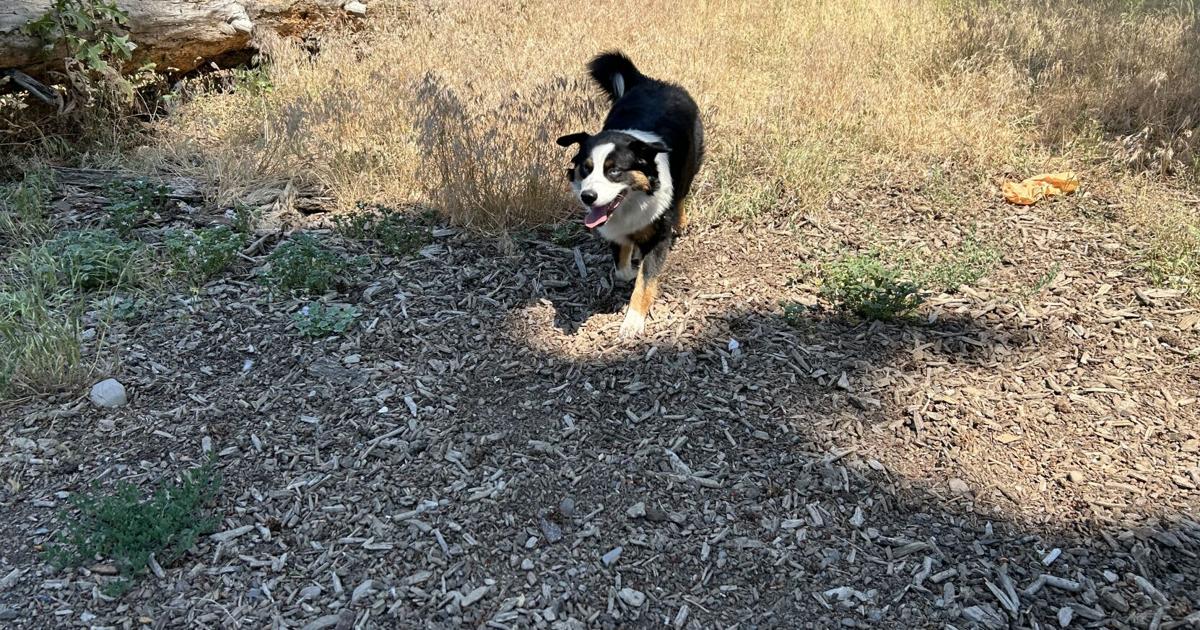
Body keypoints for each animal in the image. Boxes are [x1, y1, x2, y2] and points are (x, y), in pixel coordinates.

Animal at [559, 52, 705, 338]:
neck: (633, 201)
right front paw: (631, 264)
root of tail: (651, 81)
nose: (588, 197)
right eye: (586, 168)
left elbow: (644, 281)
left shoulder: (659, 237)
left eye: (614, 171)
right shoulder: (614, 229)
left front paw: (633, 322)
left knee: (682, 193)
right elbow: (623, 270)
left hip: (691, 164)